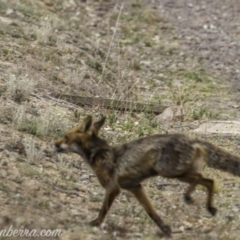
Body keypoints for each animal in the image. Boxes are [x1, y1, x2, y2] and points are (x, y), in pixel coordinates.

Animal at [53, 116, 240, 236]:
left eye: (65, 137)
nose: (54, 144)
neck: (99, 154)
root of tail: (192, 140)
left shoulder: (113, 188)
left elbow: (103, 210)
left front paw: (95, 224)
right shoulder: (135, 187)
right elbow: (152, 213)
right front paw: (165, 230)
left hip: (169, 171)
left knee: (200, 177)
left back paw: (188, 197)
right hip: (178, 173)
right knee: (209, 180)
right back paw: (210, 207)